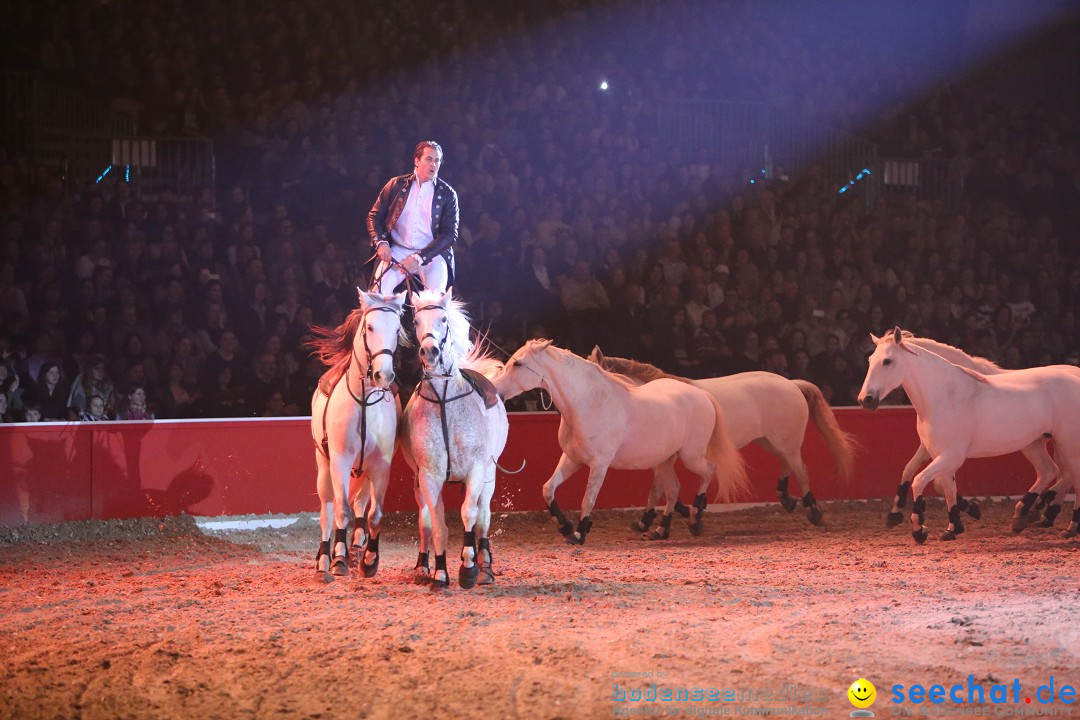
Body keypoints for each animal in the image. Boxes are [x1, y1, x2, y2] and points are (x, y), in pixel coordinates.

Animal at [311, 289, 406, 578]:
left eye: (397, 329)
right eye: (370, 327)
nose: (383, 374)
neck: (364, 402)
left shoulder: (381, 465)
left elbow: (375, 514)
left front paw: (369, 560)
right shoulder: (340, 461)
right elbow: (340, 510)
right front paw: (338, 560)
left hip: (363, 471)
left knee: (361, 505)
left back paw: (356, 545)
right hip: (324, 466)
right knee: (328, 510)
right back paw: (324, 558)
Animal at [401, 289, 509, 587]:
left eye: (443, 319)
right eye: (416, 321)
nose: (430, 351)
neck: (444, 399)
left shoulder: (476, 470)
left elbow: (469, 514)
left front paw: (469, 567)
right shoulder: (428, 476)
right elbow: (437, 524)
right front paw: (439, 573)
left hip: (489, 476)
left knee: (482, 516)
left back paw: (485, 566)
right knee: (426, 519)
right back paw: (423, 566)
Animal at [492, 341, 751, 544]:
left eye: (518, 364)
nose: (495, 390)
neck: (588, 403)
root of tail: (704, 395)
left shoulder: (599, 464)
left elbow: (588, 498)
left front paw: (579, 534)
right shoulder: (572, 459)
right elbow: (548, 489)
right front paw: (565, 527)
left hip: (691, 456)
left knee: (709, 471)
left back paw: (695, 520)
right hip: (666, 460)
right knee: (674, 489)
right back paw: (660, 530)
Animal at [591, 345, 851, 533]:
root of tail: (792, 384)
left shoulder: (668, 457)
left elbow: (661, 488)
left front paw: (684, 515)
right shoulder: (665, 458)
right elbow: (656, 490)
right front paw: (645, 522)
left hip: (786, 443)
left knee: (801, 471)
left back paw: (813, 511)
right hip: (771, 441)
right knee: (787, 465)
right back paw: (786, 499)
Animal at [864, 330, 1080, 544]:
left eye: (887, 361)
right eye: (870, 360)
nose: (865, 399)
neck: (946, 396)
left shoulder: (951, 456)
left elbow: (920, 481)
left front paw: (920, 530)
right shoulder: (938, 453)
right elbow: (940, 484)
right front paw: (953, 528)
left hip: (1067, 444)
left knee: (1071, 477)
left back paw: (1066, 525)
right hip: (1034, 444)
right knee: (1049, 471)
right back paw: (1026, 514)